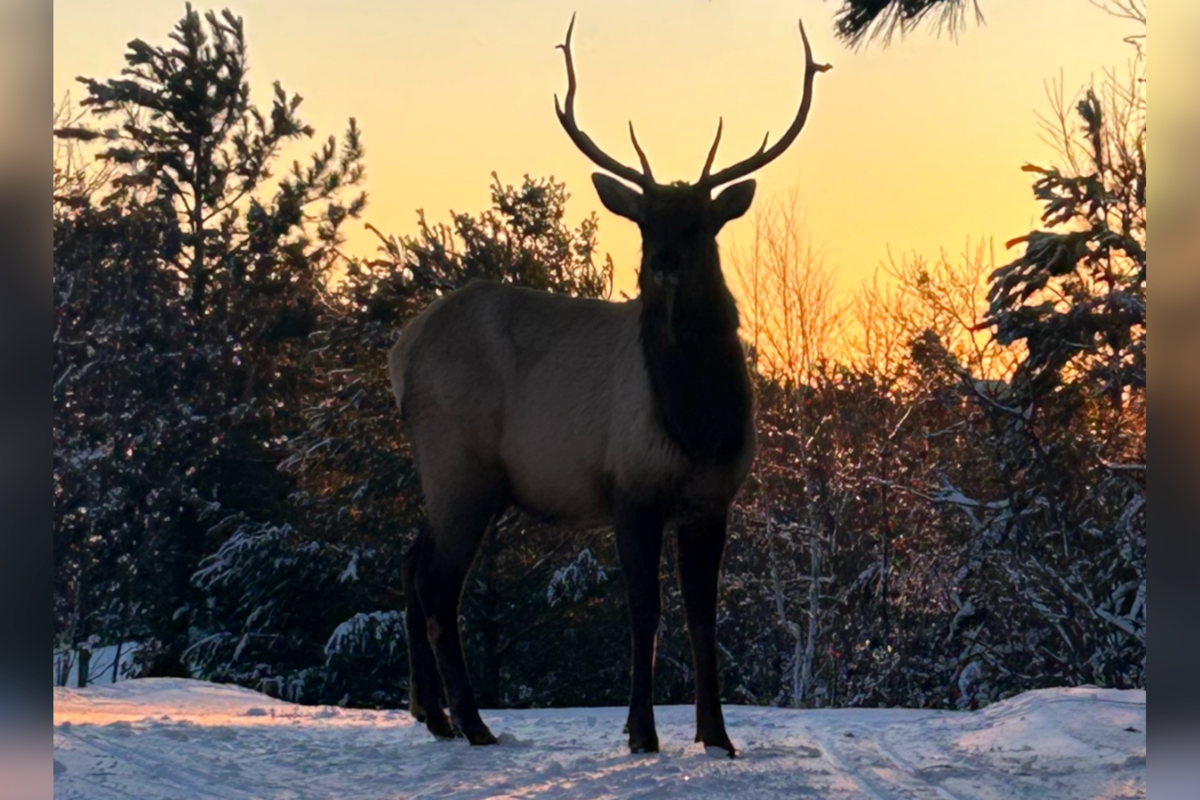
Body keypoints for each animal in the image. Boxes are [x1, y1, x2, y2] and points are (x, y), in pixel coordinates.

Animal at [388, 14, 830, 757]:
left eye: (702, 222)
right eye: (645, 220)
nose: (665, 264)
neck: (699, 425)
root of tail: (400, 352)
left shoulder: (714, 499)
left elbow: (703, 620)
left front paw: (717, 737)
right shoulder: (631, 486)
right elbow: (645, 614)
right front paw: (642, 735)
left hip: (451, 476)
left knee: (412, 560)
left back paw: (434, 714)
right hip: (460, 464)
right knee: (440, 586)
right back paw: (475, 725)